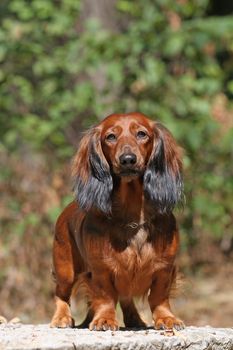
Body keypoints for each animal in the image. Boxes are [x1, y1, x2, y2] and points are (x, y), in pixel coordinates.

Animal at [50, 113, 184, 330]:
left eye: (142, 134)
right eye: (111, 137)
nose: (128, 160)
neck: (133, 216)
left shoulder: (164, 267)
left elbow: (159, 297)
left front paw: (166, 318)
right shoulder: (101, 270)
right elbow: (105, 297)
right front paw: (105, 319)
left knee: (126, 298)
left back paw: (135, 320)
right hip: (66, 270)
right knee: (61, 294)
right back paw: (62, 318)